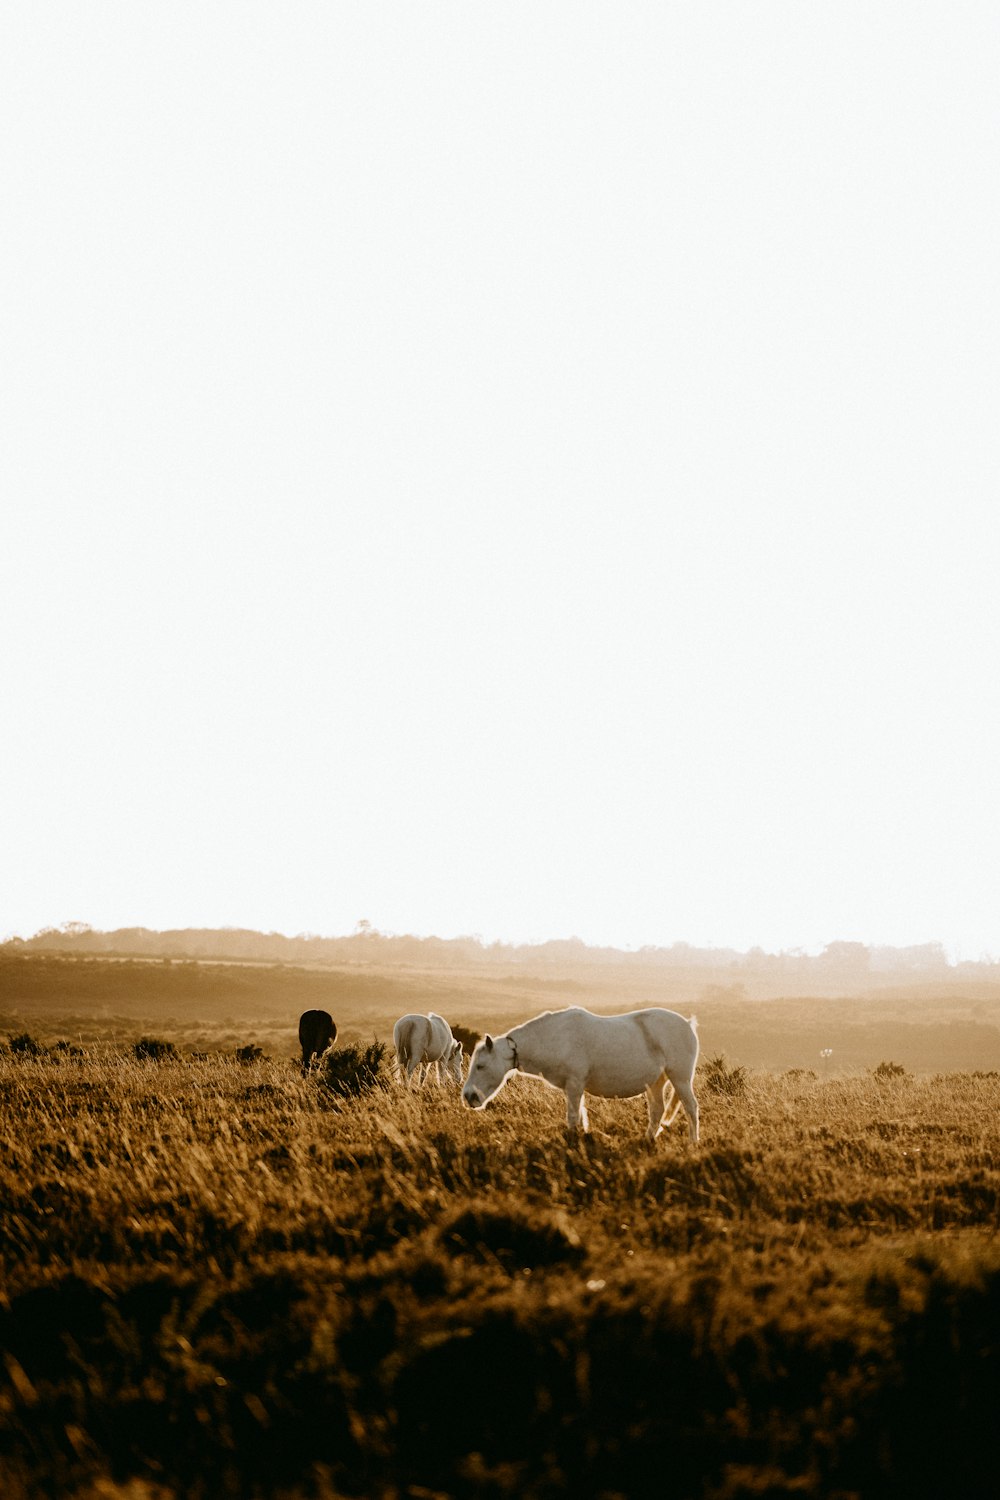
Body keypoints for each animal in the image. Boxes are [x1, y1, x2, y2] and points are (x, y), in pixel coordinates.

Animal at [458, 1008, 695, 1146]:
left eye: (480, 1066)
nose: (468, 1096)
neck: (556, 1037)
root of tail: (688, 1023)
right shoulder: (574, 1087)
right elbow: (580, 1114)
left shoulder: (574, 1085)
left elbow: (572, 1116)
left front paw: (572, 1142)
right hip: (655, 1083)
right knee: (657, 1111)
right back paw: (648, 1140)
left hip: (681, 1079)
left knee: (691, 1107)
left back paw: (693, 1142)